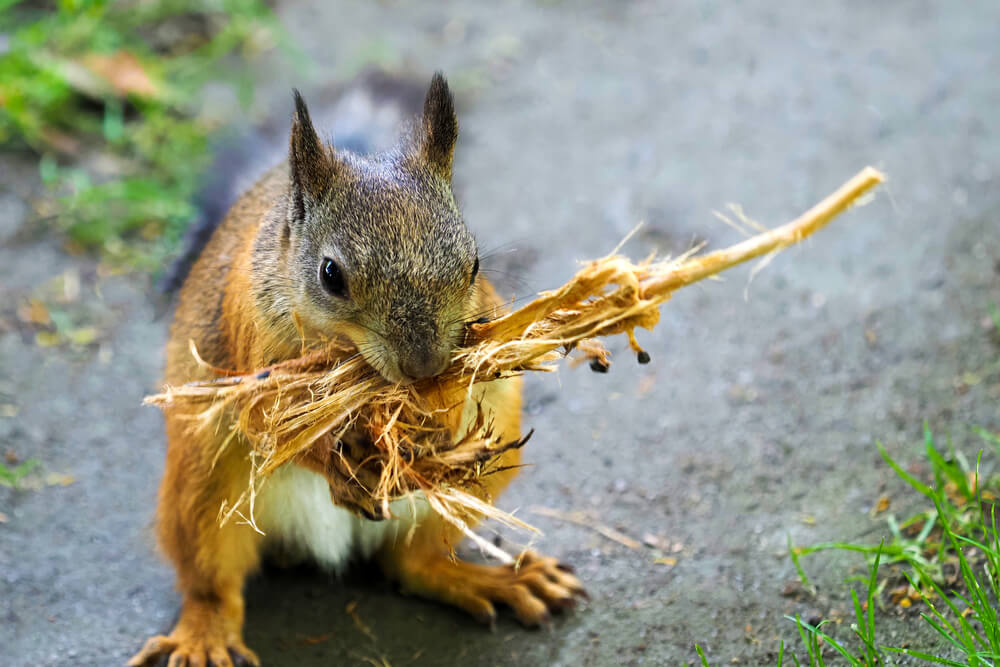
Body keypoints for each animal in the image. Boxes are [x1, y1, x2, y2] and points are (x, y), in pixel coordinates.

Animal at [131, 73, 584, 667]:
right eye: (331, 275)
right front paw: (340, 463)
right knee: (212, 582)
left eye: (474, 265)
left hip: (477, 477)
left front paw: (442, 427)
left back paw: (494, 576)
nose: (423, 366)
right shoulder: (251, 352)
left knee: (414, 565)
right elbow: (268, 422)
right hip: (201, 491)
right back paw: (204, 634)